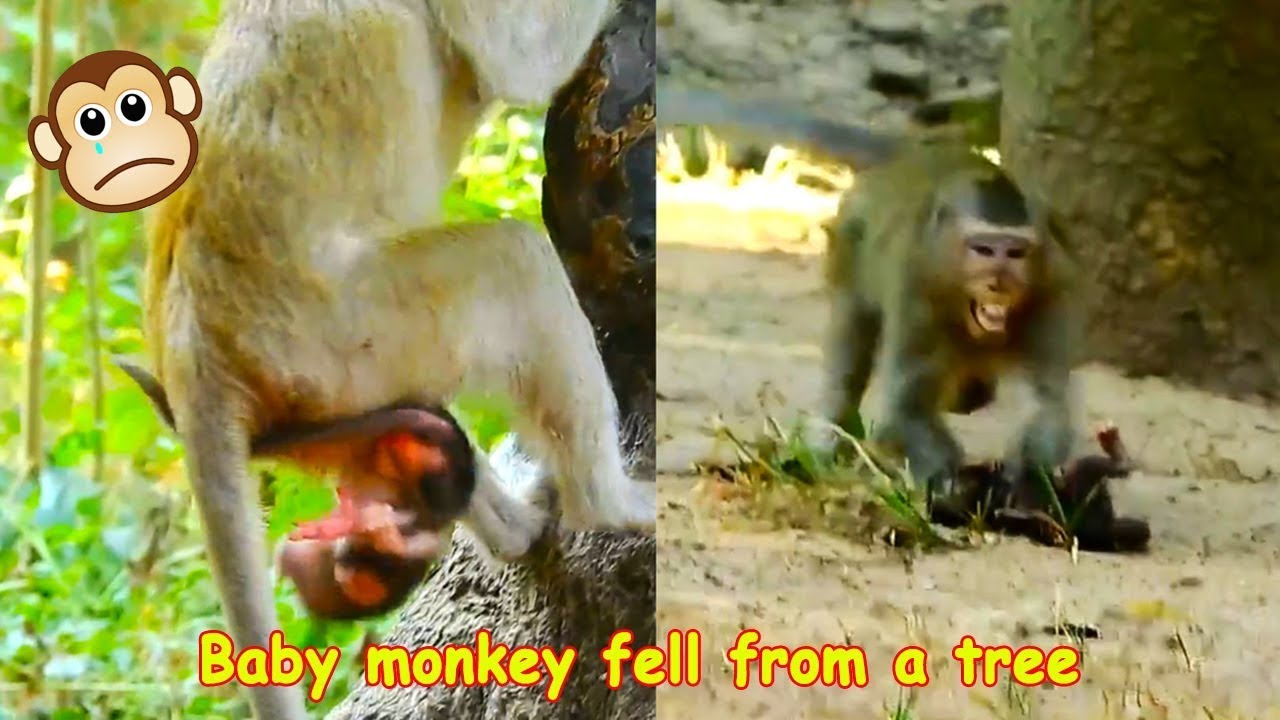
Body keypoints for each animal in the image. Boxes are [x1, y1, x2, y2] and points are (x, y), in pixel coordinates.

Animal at [658, 83, 1081, 513]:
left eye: (1015, 253)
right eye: (983, 250)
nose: (999, 281)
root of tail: (905, 155)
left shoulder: (1051, 287)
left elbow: (1046, 404)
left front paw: (1029, 481)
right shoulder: (915, 290)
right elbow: (903, 408)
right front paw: (950, 480)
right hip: (850, 241)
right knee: (851, 344)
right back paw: (829, 443)